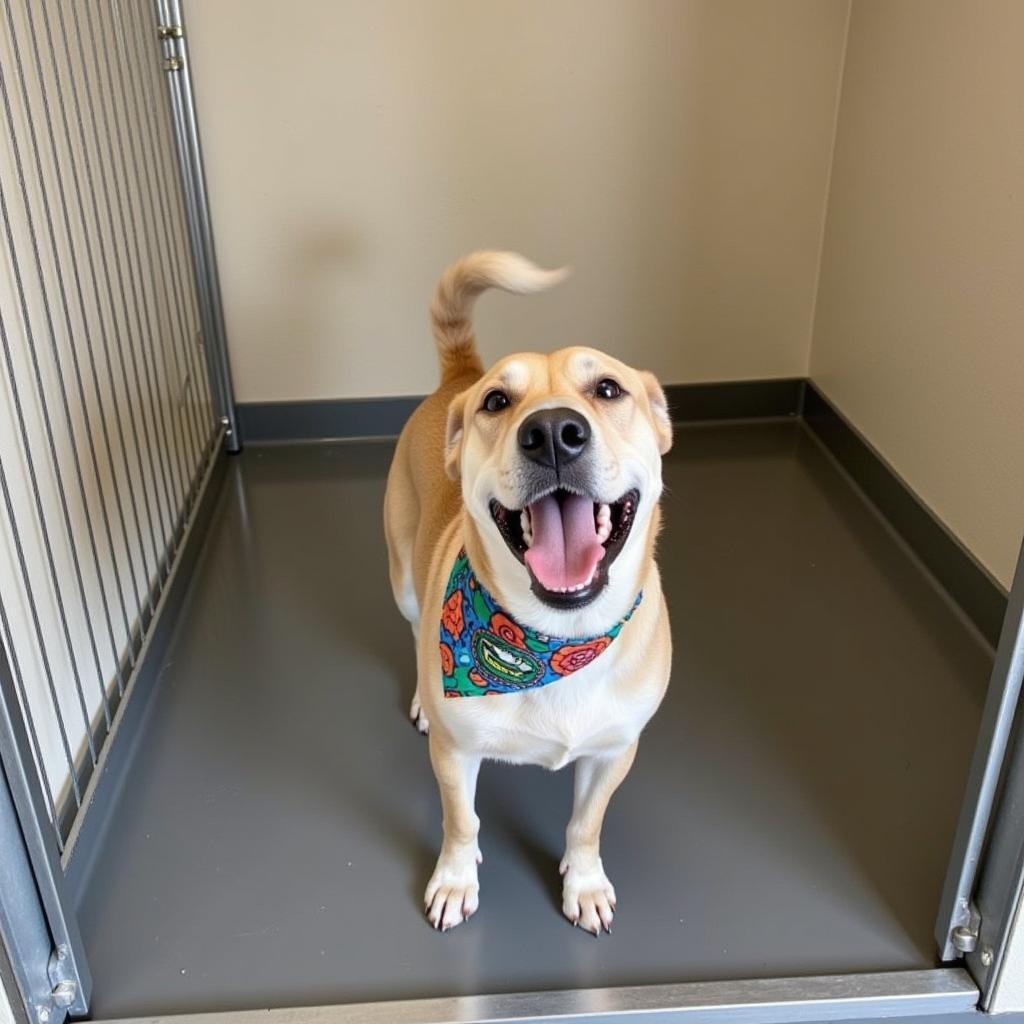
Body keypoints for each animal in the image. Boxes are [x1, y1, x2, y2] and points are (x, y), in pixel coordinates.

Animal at [385, 249, 671, 937]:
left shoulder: (614, 751)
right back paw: (420, 695)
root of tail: (458, 375)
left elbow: (586, 825)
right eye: (497, 401)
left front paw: (585, 884)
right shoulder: (456, 753)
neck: (555, 640)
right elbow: (462, 821)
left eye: (607, 389)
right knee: (413, 630)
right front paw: (455, 880)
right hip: (404, 580)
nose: (552, 431)